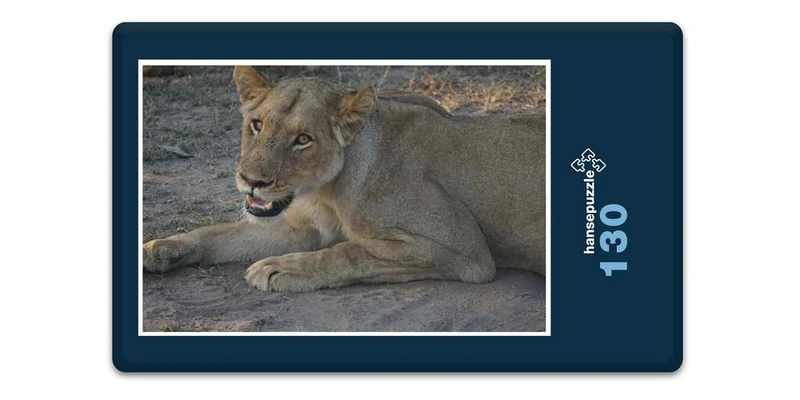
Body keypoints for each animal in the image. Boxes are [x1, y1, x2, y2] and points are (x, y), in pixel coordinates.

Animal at [143, 66, 546, 292]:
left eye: (303, 139)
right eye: (256, 125)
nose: (250, 180)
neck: (324, 192)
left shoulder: (465, 251)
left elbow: (348, 251)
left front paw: (278, 268)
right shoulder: (300, 226)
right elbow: (218, 233)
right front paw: (160, 249)